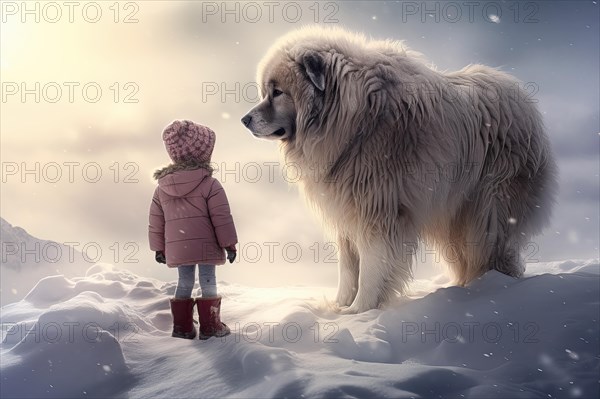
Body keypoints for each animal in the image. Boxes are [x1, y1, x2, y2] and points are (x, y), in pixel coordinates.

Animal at [240, 27, 556, 316]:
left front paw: (360, 311)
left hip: (488, 207)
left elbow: (371, 268)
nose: (244, 119)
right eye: (266, 91)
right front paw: (339, 308)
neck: (353, 123)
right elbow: (348, 269)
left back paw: (491, 290)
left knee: (492, 250)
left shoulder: (378, 212)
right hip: (454, 213)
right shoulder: (347, 213)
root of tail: (522, 100)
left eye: (277, 92)